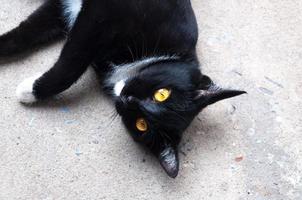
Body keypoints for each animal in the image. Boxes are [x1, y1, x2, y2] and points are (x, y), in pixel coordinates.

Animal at [0, 0, 245, 178]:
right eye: (162, 93)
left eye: (141, 124)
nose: (129, 99)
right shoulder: (98, 17)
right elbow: (68, 60)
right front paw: (28, 89)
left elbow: (41, 40)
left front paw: (29, 91)